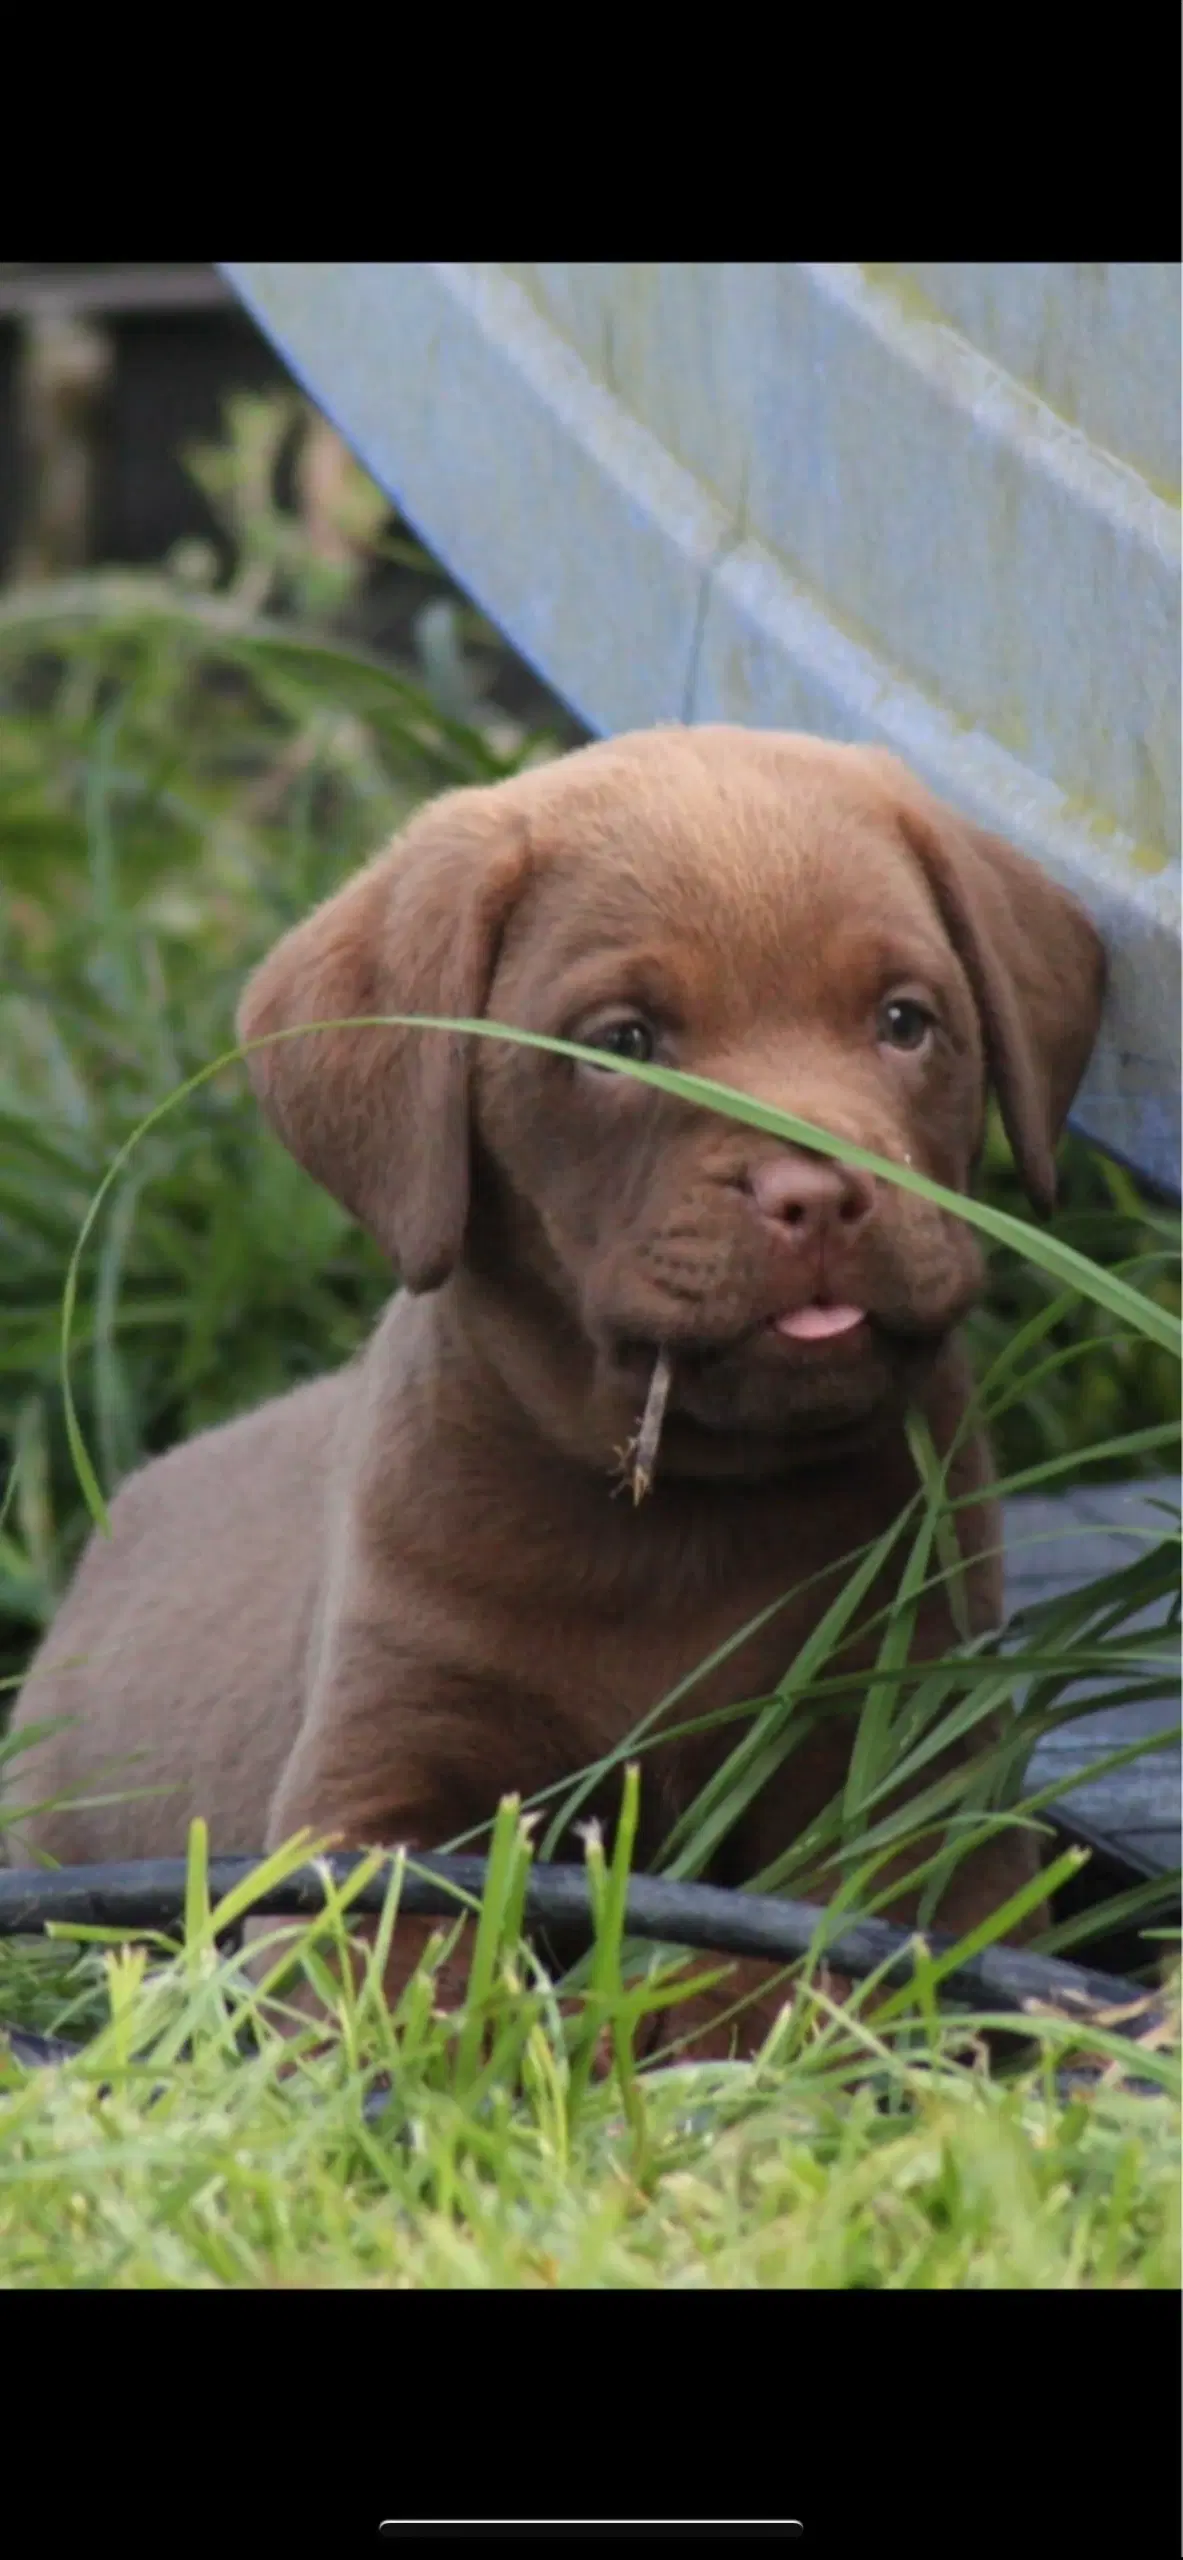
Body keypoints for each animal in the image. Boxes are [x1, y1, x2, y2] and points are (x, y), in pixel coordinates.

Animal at [4, 727, 1106, 2058]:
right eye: (623, 1040)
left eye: (905, 1021)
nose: (818, 1195)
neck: (682, 1511)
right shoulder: (366, 1805)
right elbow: (406, 1975)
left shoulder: (921, 1781)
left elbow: (797, 1961)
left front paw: (642, 2018)